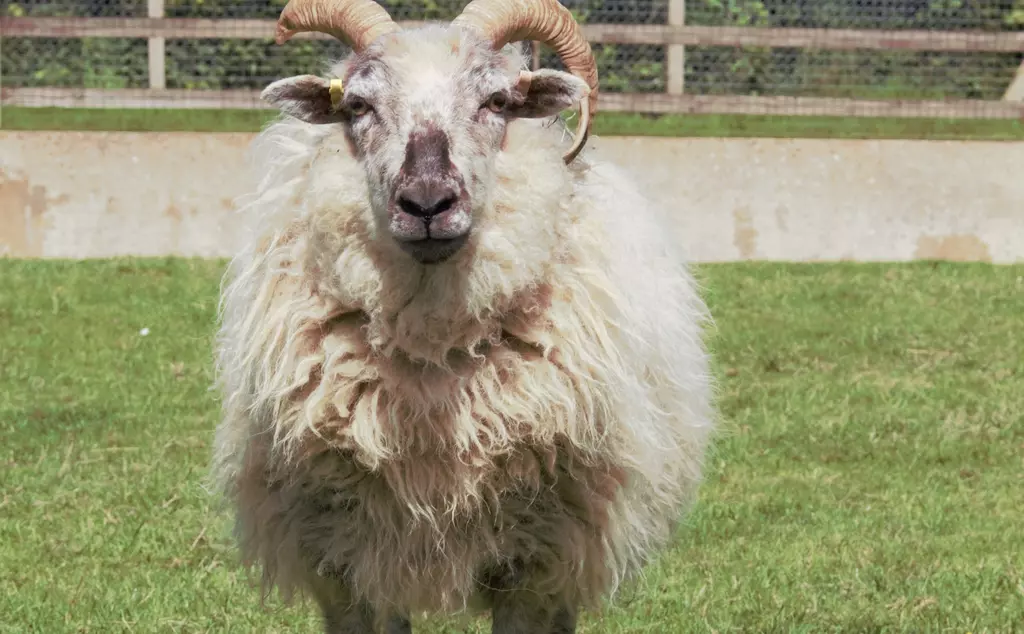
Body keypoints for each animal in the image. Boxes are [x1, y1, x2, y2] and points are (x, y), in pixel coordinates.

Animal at [210, 0, 716, 630]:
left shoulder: (539, 559)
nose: (427, 202)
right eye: (358, 106)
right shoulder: (346, 558)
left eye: (496, 101)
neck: (432, 352)